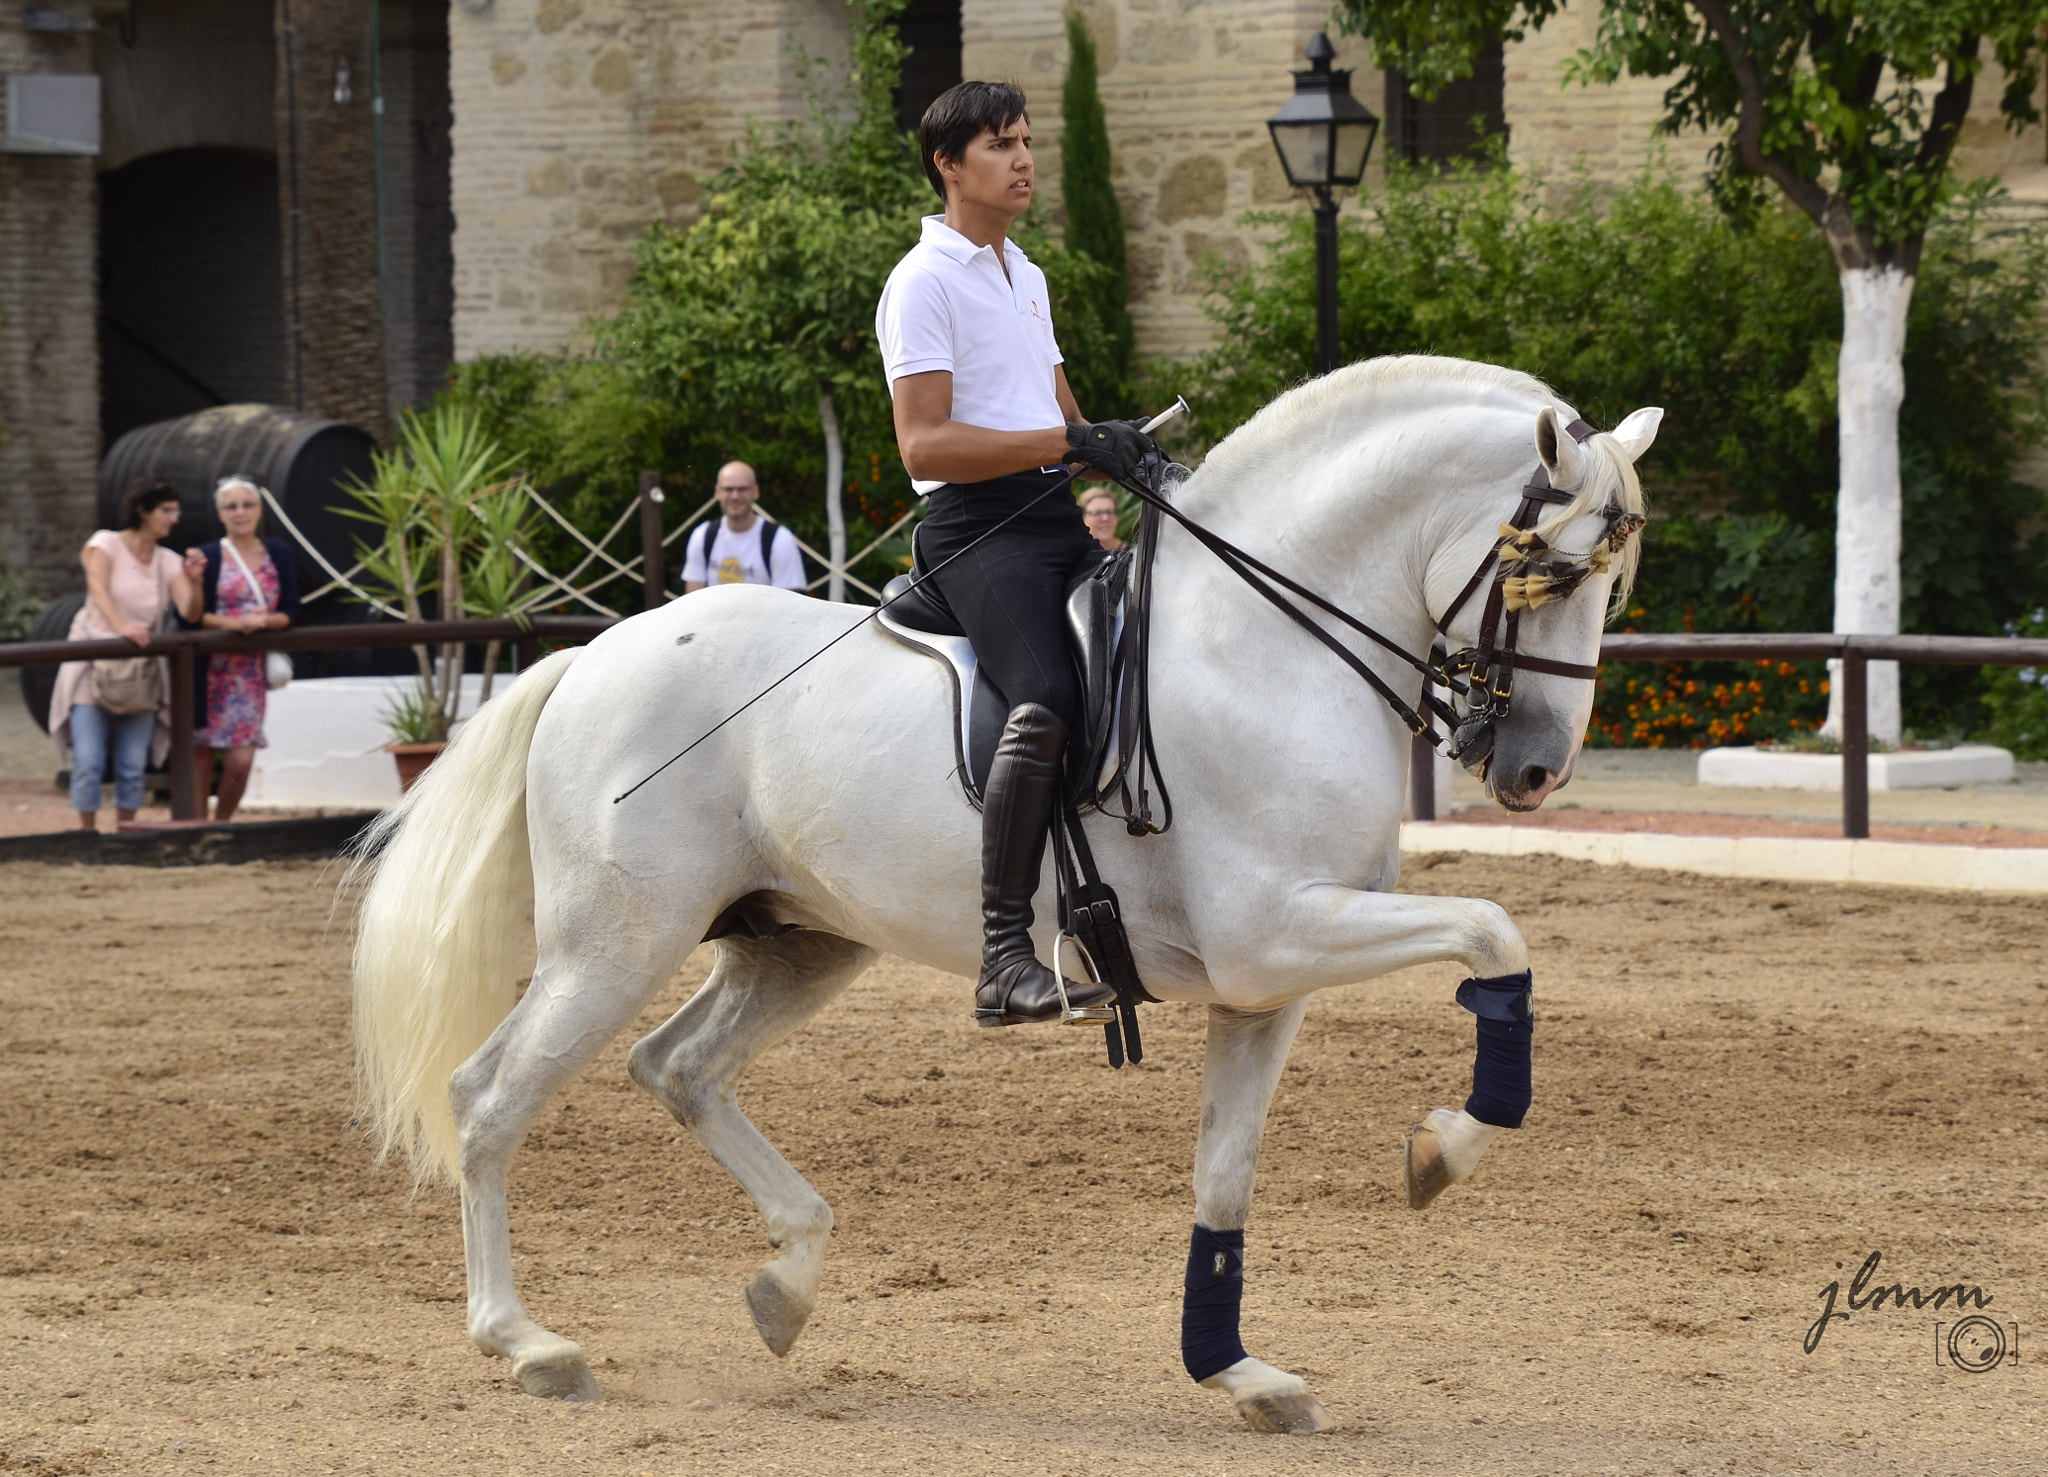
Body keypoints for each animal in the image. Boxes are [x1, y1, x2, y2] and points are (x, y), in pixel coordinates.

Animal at [349, 356, 1659, 1435]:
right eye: (1543, 572)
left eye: (1610, 582)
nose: (1534, 771)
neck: (1263, 647)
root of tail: (591, 654)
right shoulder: (1276, 933)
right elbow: (1494, 930)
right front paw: (1444, 1147)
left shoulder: (1264, 984)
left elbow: (1223, 1173)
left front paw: (1235, 1370)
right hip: (616, 939)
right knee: (487, 1097)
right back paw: (528, 1344)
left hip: (797, 942)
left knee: (677, 1066)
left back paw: (787, 1280)